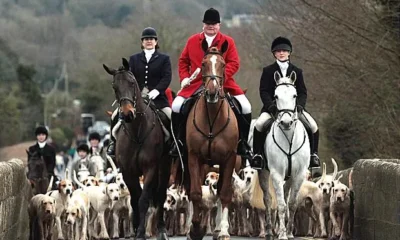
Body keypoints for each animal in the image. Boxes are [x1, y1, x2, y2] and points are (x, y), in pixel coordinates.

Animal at [103, 58, 170, 240]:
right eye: (114, 87)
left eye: (132, 83)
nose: (127, 114)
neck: (137, 130)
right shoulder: (127, 171)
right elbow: (135, 198)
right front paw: (134, 228)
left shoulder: (150, 168)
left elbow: (144, 199)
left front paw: (140, 231)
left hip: (164, 166)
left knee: (160, 194)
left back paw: (162, 229)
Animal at [185, 45, 239, 240]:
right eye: (203, 64)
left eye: (223, 65)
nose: (212, 93)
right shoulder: (193, 157)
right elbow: (195, 193)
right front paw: (195, 228)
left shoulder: (229, 158)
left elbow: (224, 194)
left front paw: (222, 231)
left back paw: (217, 229)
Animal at [256, 71, 310, 240]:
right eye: (276, 96)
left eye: (294, 95)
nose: (286, 122)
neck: (288, 136)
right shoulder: (276, 174)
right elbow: (280, 204)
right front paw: (281, 234)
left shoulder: (299, 174)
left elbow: (291, 204)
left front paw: (290, 232)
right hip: (264, 173)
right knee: (267, 199)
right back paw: (269, 231)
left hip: (290, 177)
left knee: (286, 196)